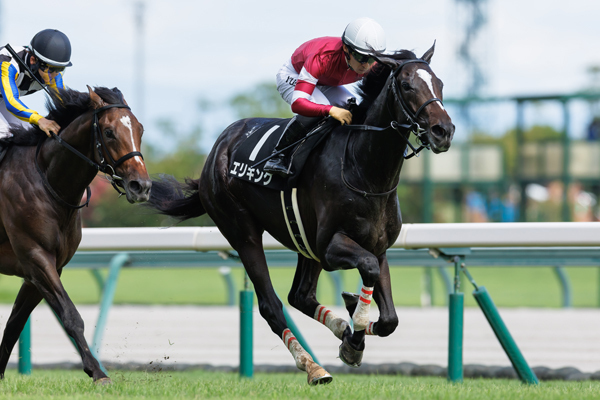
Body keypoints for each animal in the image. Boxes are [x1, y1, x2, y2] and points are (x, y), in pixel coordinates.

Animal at [0, 86, 151, 382]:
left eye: (139, 129)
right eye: (109, 132)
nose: (141, 186)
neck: (46, 181)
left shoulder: (43, 268)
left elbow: (13, 323)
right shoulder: (35, 256)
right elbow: (70, 315)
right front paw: (98, 372)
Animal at [146, 44, 454, 384]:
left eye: (439, 84)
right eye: (407, 85)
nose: (444, 130)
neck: (363, 169)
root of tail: (218, 148)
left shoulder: (377, 246)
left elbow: (389, 319)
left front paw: (352, 329)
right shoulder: (331, 247)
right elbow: (369, 270)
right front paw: (355, 332)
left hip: (304, 241)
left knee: (300, 296)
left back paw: (340, 327)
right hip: (242, 230)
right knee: (272, 305)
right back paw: (313, 366)